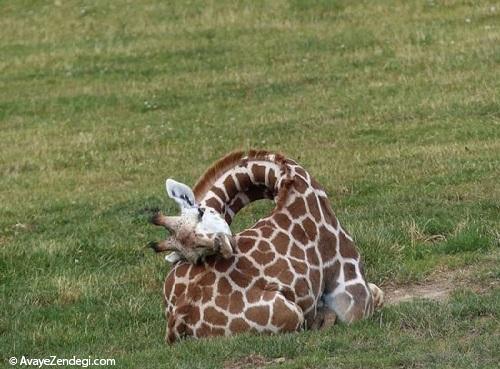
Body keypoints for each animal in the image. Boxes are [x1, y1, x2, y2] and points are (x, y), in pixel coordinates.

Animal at [148, 149, 382, 342]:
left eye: (201, 212)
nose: (224, 247)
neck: (289, 183)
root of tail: (177, 319)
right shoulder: (354, 301)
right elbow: (375, 294)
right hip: (291, 312)